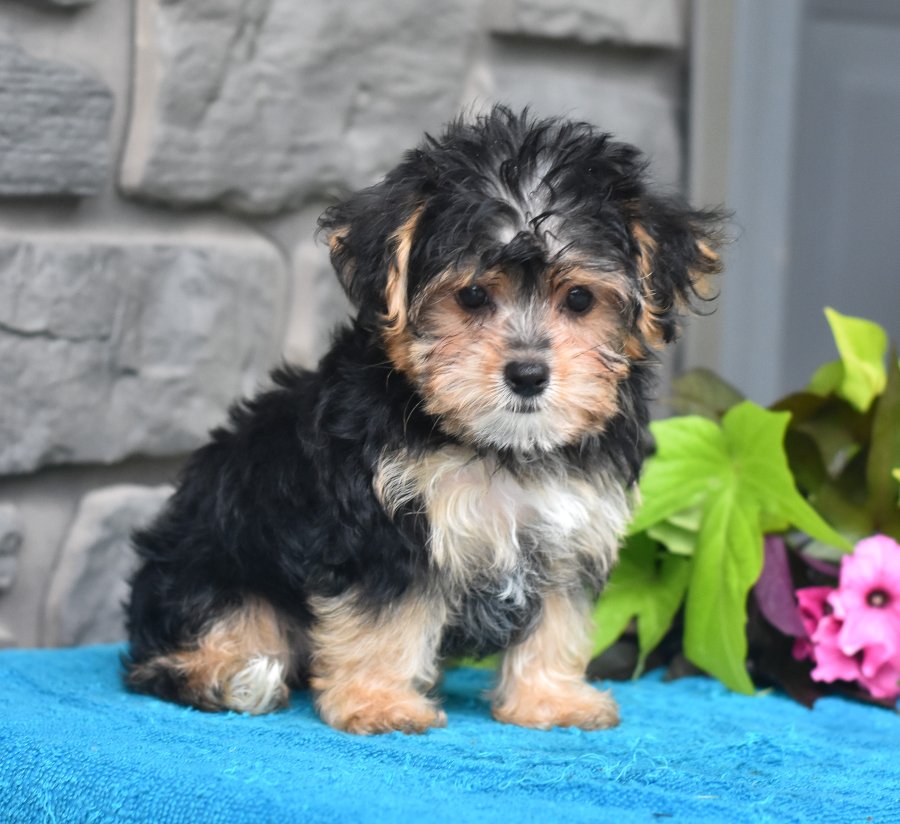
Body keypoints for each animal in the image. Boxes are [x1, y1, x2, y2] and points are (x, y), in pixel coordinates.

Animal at [125, 104, 724, 732]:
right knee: (191, 643)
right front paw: (380, 703)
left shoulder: (568, 528)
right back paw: (232, 677)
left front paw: (550, 699)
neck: (500, 445)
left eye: (580, 299)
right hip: (213, 565)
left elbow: (557, 617)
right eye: (472, 296)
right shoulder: (386, 528)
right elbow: (382, 619)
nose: (528, 374)